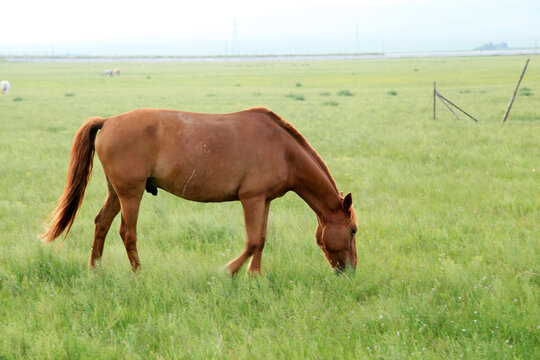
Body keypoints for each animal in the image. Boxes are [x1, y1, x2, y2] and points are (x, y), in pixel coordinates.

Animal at [40, 107, 356, 276]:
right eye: (353, 231)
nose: (350, 271)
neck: (282, 149)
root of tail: (107, 121)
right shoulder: (252, 199)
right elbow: (253, 241)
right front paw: (228, 271)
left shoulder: (264, 200)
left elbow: (261, 240)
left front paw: (255, 276)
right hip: (131, 194)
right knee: (127, 233)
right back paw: (139, 274)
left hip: (116, 193)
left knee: (101, 224)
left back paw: (95, 270)